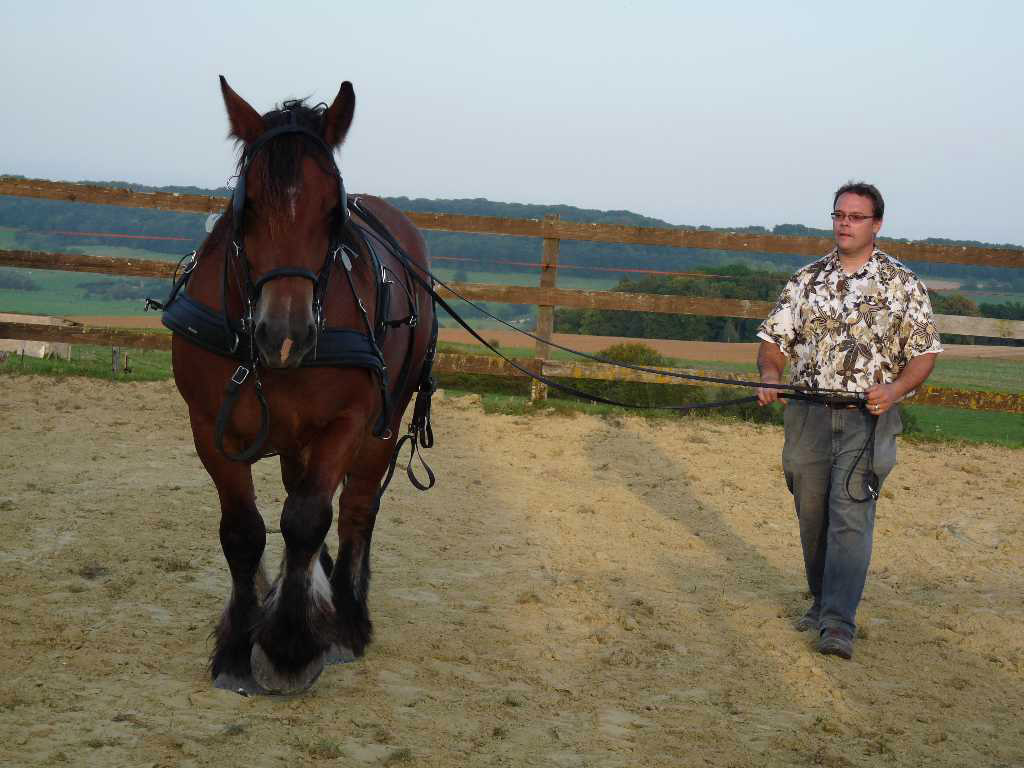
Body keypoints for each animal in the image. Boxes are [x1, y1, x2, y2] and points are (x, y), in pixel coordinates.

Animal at [162, 76, 437, 695]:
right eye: (247, 207)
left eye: (333, 211)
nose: (284, 335)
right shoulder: (207, 426)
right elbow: (244, 532)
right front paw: (238, 647)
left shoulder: (348, 422)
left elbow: (308, 519)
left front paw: (290, 646)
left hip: (386, 422)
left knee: (355, 509)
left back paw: (349, 618)